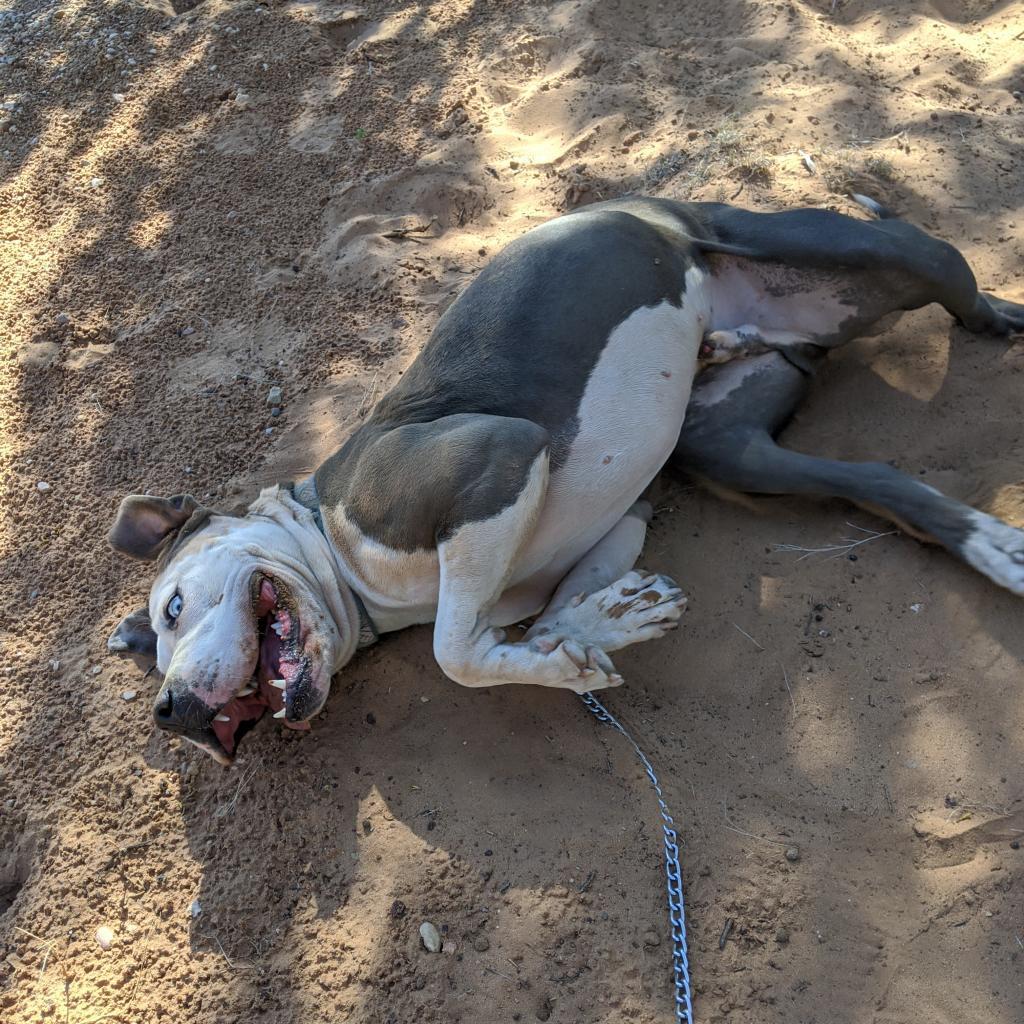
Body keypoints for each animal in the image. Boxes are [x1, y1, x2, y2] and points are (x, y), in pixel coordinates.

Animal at [105, 197, 1024, 761]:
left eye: (173, 607)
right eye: (157, 649)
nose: (170, 714)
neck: (337, 551)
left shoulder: (499, 458)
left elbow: (452, 652)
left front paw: (569, 649)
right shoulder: (617, 526)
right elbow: (537, 624)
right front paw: (602, 629)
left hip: (884, 251)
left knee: (961, 293)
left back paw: (1000, 323)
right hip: (729, 448)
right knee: (877, 481)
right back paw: (989, 543)